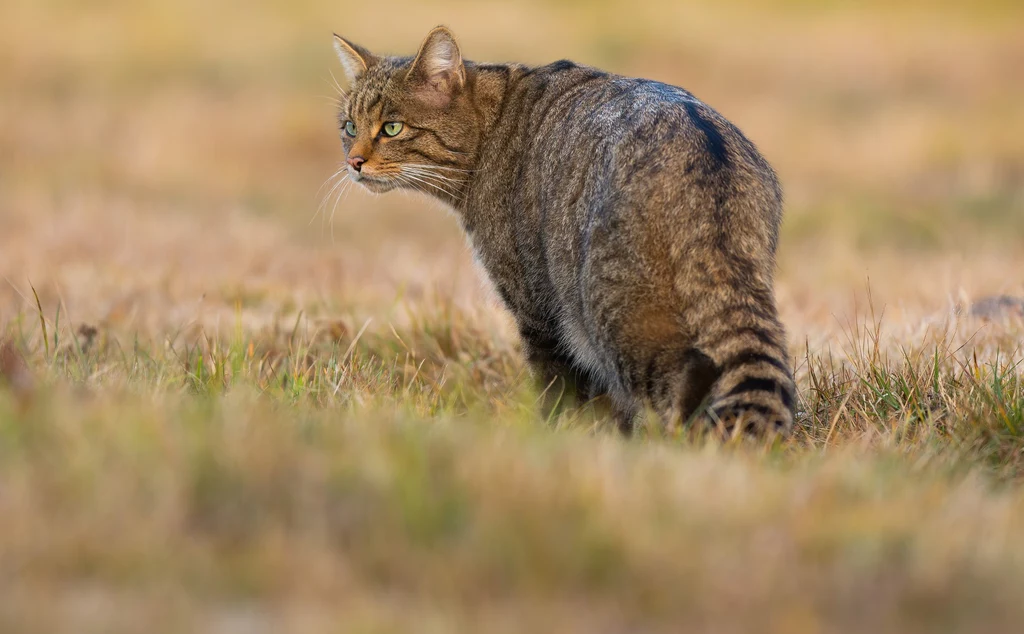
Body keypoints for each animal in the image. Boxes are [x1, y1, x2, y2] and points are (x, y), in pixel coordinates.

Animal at [331, 23, 794, 432]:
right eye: (349, 127)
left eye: (392, 127)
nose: (353, 161)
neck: (491, 125)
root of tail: (704, 151)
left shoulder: (537, 309)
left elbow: (557, 391)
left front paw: (551, 437)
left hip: (611, 312)